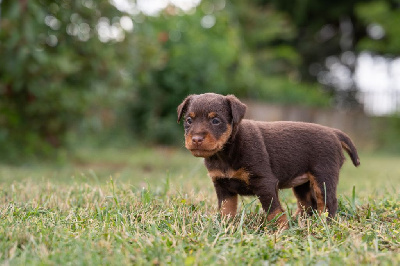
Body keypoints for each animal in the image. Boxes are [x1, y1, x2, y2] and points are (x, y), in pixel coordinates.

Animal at [177, 93, 360, 229]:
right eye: (189, 120)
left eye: (215, 121)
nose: (196, 139)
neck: (225, 153)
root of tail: (334, 132)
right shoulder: (222, 186)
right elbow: (226, 209)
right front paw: (224, 226)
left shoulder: (264, 182)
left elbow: (274, 210)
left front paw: (281, 230)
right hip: (302, 183)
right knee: (307, 203)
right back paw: (301, 221)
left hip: (323, 177)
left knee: (328, 203)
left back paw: (322, 224)